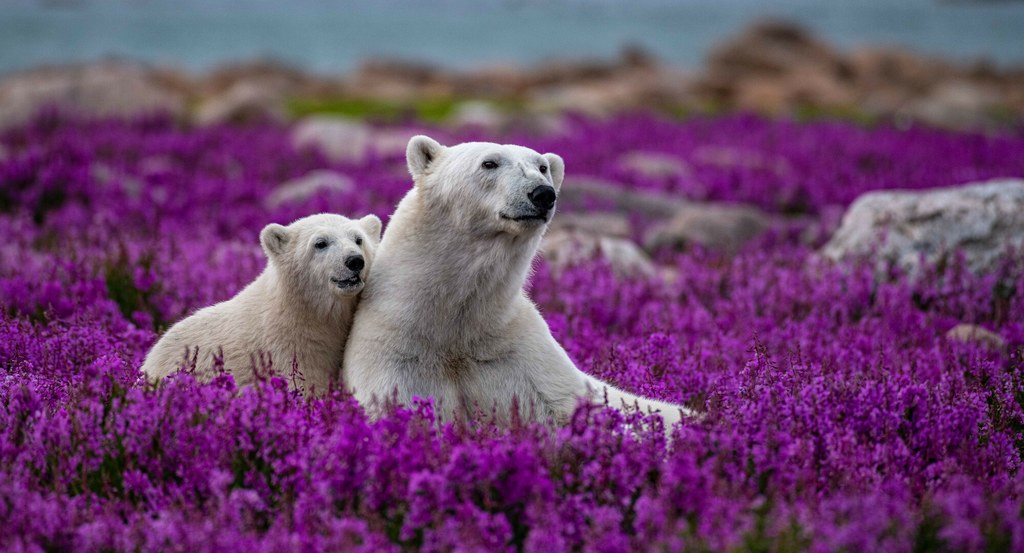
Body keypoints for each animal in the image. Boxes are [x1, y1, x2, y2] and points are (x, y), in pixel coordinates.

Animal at [346, 136, 696, 426]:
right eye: (489, 163)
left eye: (542, 166)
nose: (543, 193)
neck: (453, 324)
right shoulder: (397, 356)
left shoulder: (520, 356)